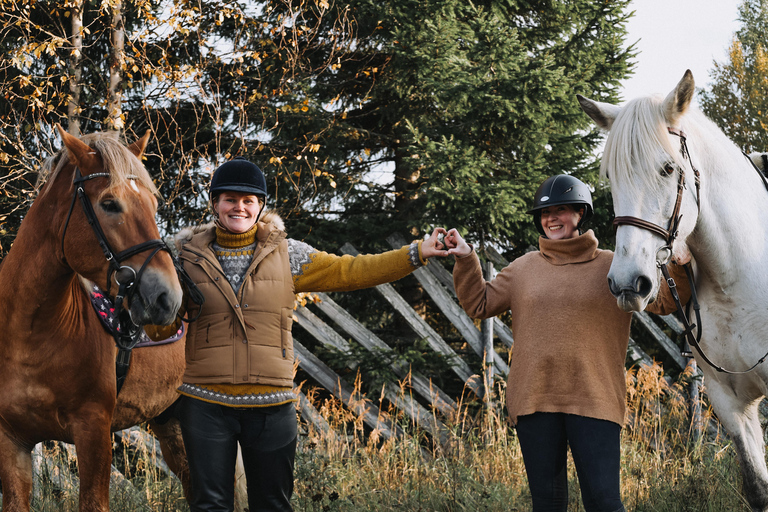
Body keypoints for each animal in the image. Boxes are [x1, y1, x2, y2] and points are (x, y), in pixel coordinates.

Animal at [0, 126, 190, 510]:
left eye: (153, 205)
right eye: (109, 203)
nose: (168, 297)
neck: (28, 334)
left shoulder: (93, 431)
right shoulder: (11, 442)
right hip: (170, 423)